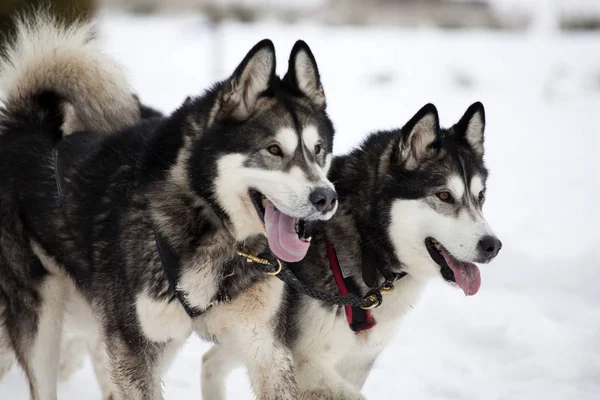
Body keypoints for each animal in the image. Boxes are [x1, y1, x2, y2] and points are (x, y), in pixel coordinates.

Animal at [0, 12, 338, 400]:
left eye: (318, 149)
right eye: (273, 150)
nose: (325, 197)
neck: (209, 222)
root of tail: (26, 130)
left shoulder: (264, 346)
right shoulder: (133, 349)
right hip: (42, 323)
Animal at [202, 101, 502, 398]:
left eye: (481, 197)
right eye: (444, 195)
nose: (493, 246)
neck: (366, 244)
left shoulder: (356, 360)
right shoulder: (306, 363)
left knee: (210, 361)